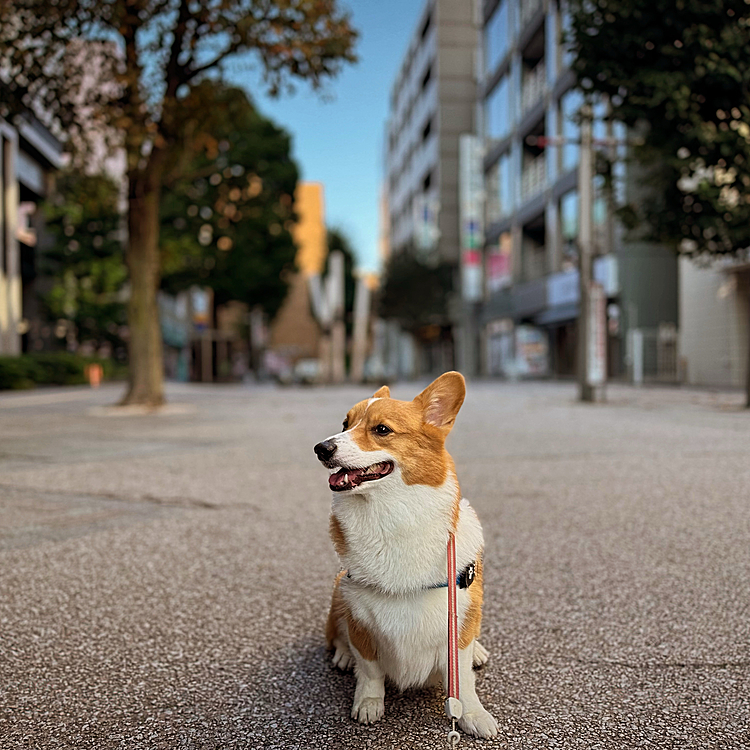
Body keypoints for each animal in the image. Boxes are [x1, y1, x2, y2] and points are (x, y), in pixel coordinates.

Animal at [316, 374, 500, 736]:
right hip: (338, 590)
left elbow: (462, 679)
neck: (392, 517)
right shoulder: (361, 618)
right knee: (337, 633)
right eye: (345, 424)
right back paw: (343, 655)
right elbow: (370, 671)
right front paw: (369, 703)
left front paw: (472, 714)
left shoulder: (456, 624)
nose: (321, 448)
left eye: (381, 429)